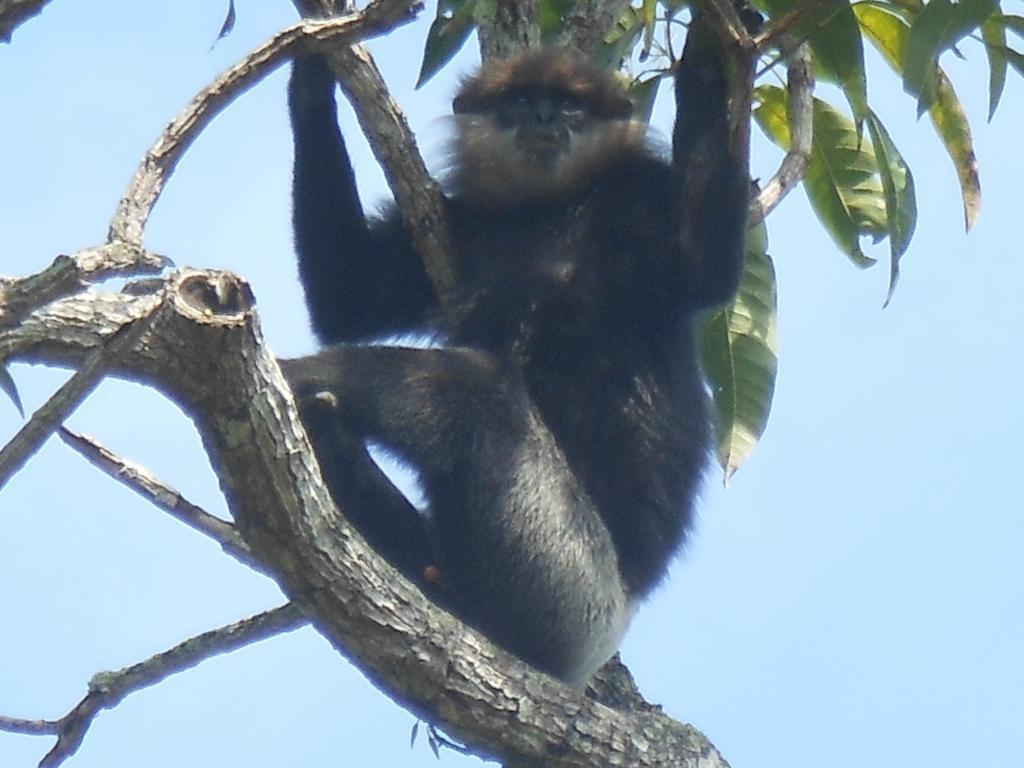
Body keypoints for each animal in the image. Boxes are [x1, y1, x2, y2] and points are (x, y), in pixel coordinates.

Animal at [284, 12, 749, 688]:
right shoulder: (464, 222)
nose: (544, 117)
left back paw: (295, 381)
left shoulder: (639, 197)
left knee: (472, 390)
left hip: (564, 583)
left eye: (567, 103)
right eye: (518, 103)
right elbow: (346, 296)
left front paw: (714, 47)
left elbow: (704, 261)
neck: (550, 211)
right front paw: (311, 75)